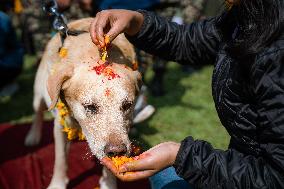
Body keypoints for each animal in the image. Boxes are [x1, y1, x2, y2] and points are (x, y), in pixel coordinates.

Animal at [24, 18, 143, 189]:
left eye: (127, 105)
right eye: (90, 107)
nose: (117, 151)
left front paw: (108, 183)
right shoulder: (60, 125)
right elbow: (60, 159)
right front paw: (57, 184)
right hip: (39, 92)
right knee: (38, 112)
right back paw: (33, 135)